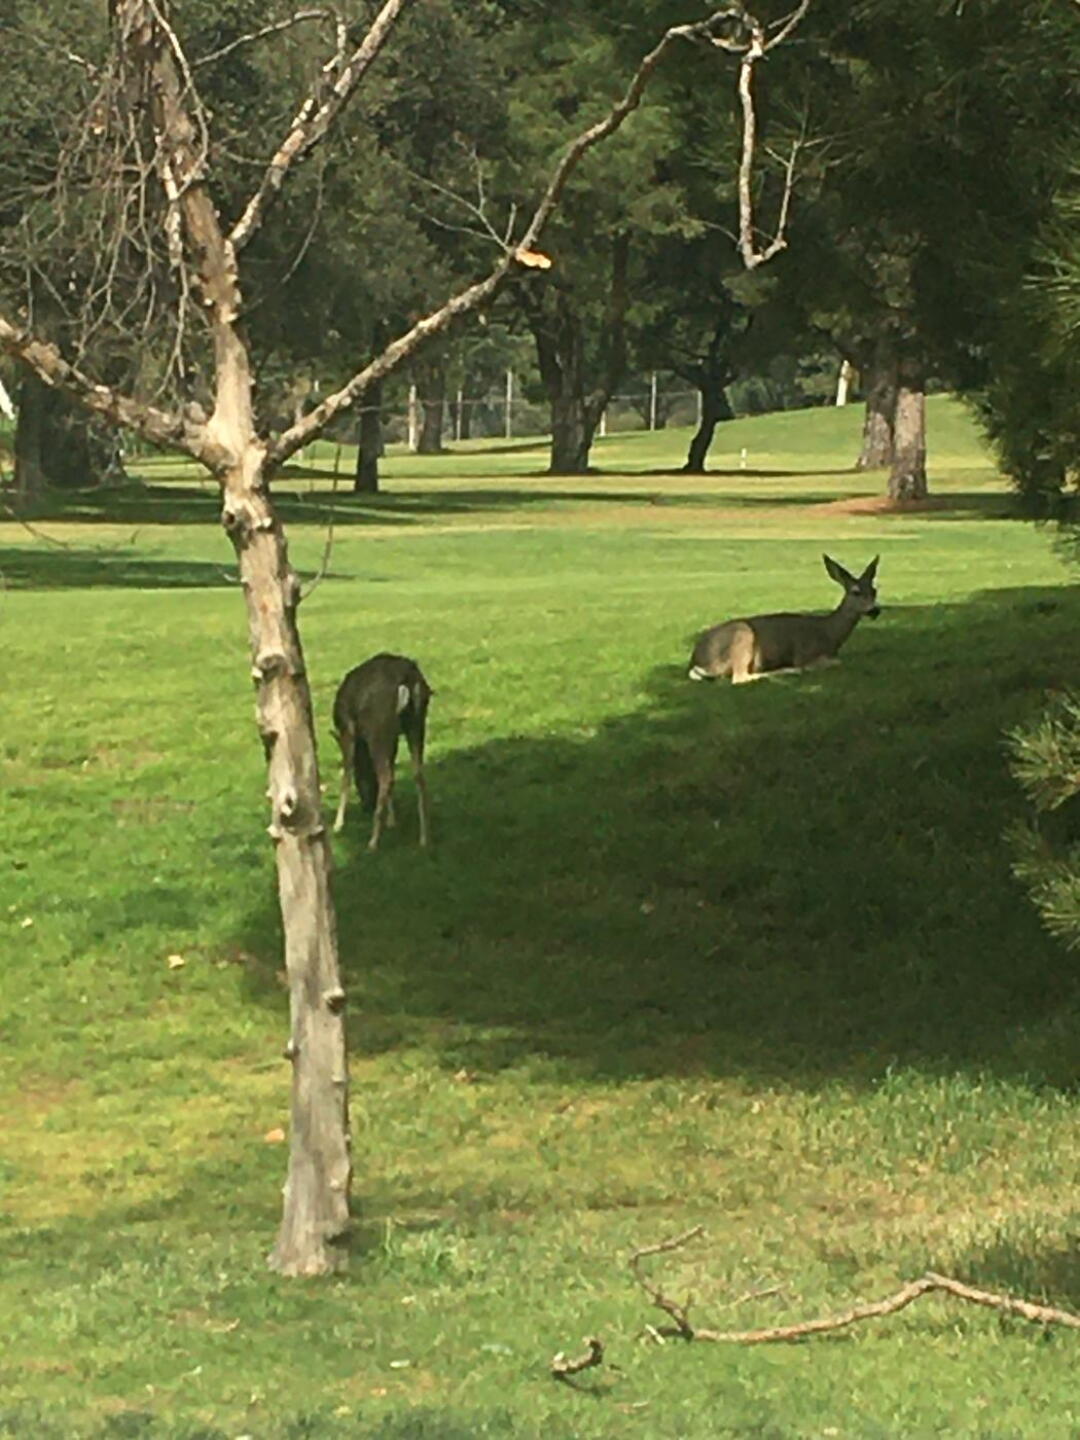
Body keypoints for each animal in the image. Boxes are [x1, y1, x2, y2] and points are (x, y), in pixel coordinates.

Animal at [331, 653, 432, 850]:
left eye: (360, 780)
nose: (366, 806)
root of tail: (408, 680)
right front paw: (392, 821)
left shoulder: (347, 728)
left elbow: (346, 773)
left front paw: (338, 824)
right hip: (416, 724)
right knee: (417, 774)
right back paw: (424, 838)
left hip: (378, 728)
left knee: (387, 777)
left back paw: (373, 841)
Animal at [688, 554, 881, 684]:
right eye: (855, 592)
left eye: (874, 590)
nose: (875, 610)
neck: (829, 634)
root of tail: (696, 661)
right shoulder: (804, 653)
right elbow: (834, 662)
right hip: (742, 637)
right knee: (740, 677)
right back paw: (787, 671)